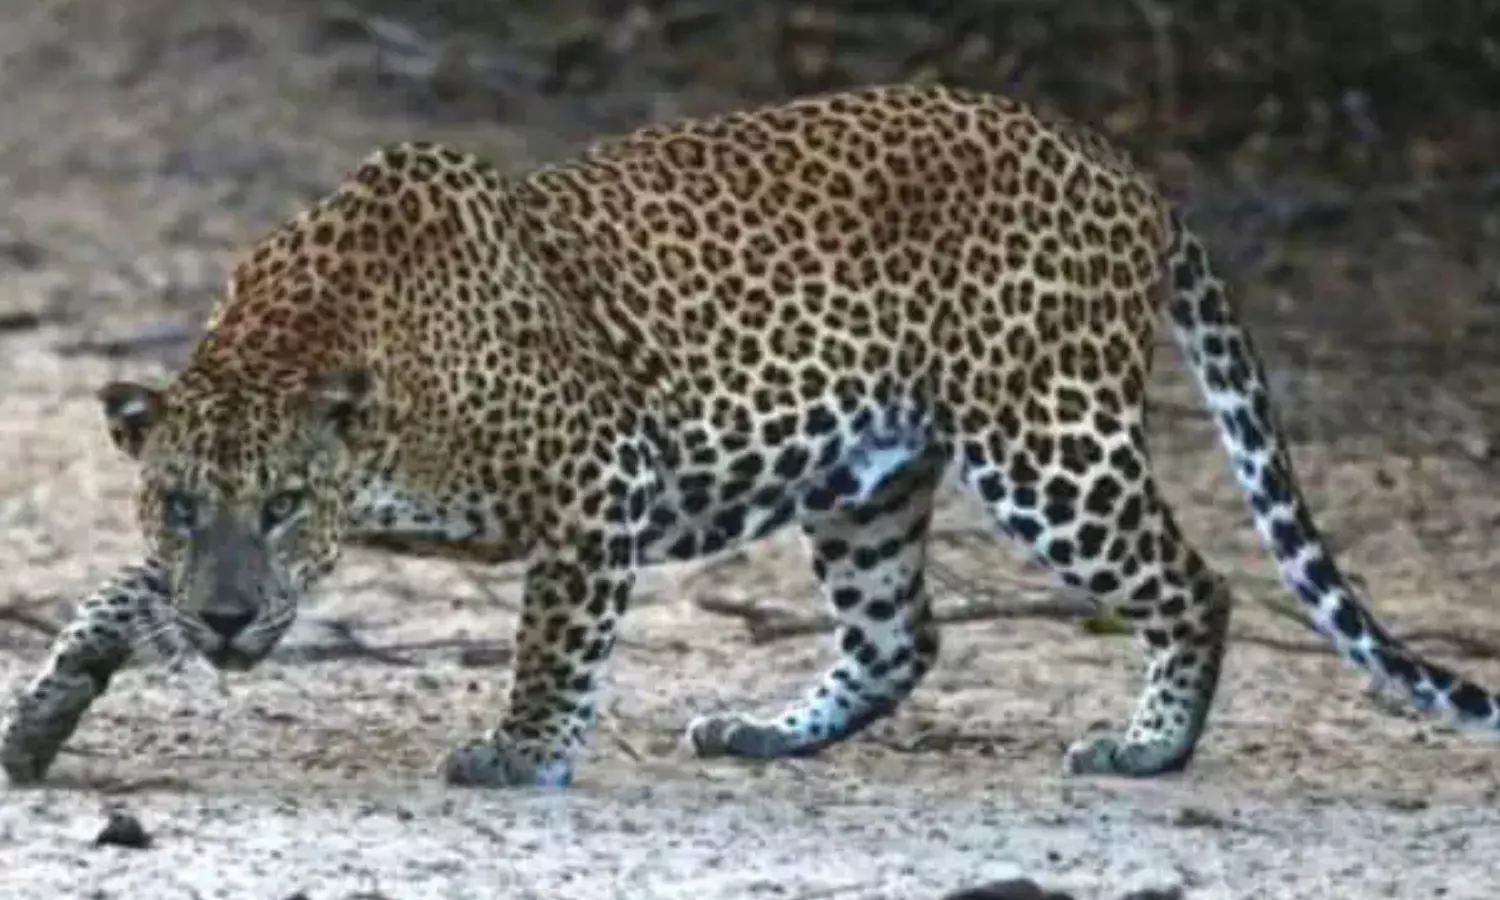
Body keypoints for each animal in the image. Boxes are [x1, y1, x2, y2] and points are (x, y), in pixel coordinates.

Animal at [4, 83, 1497, 790]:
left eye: (284, 505)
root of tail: (1124, 167)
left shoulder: (598, 476)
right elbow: (114, 598)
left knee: (1195, 585)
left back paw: (1150, 751)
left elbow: (555, 640)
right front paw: (41, 717)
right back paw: (769, 732)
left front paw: (521, 753)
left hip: (1046, 438)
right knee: (902, 636)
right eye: (184, 505)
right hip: (866, 480)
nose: (230, 623)